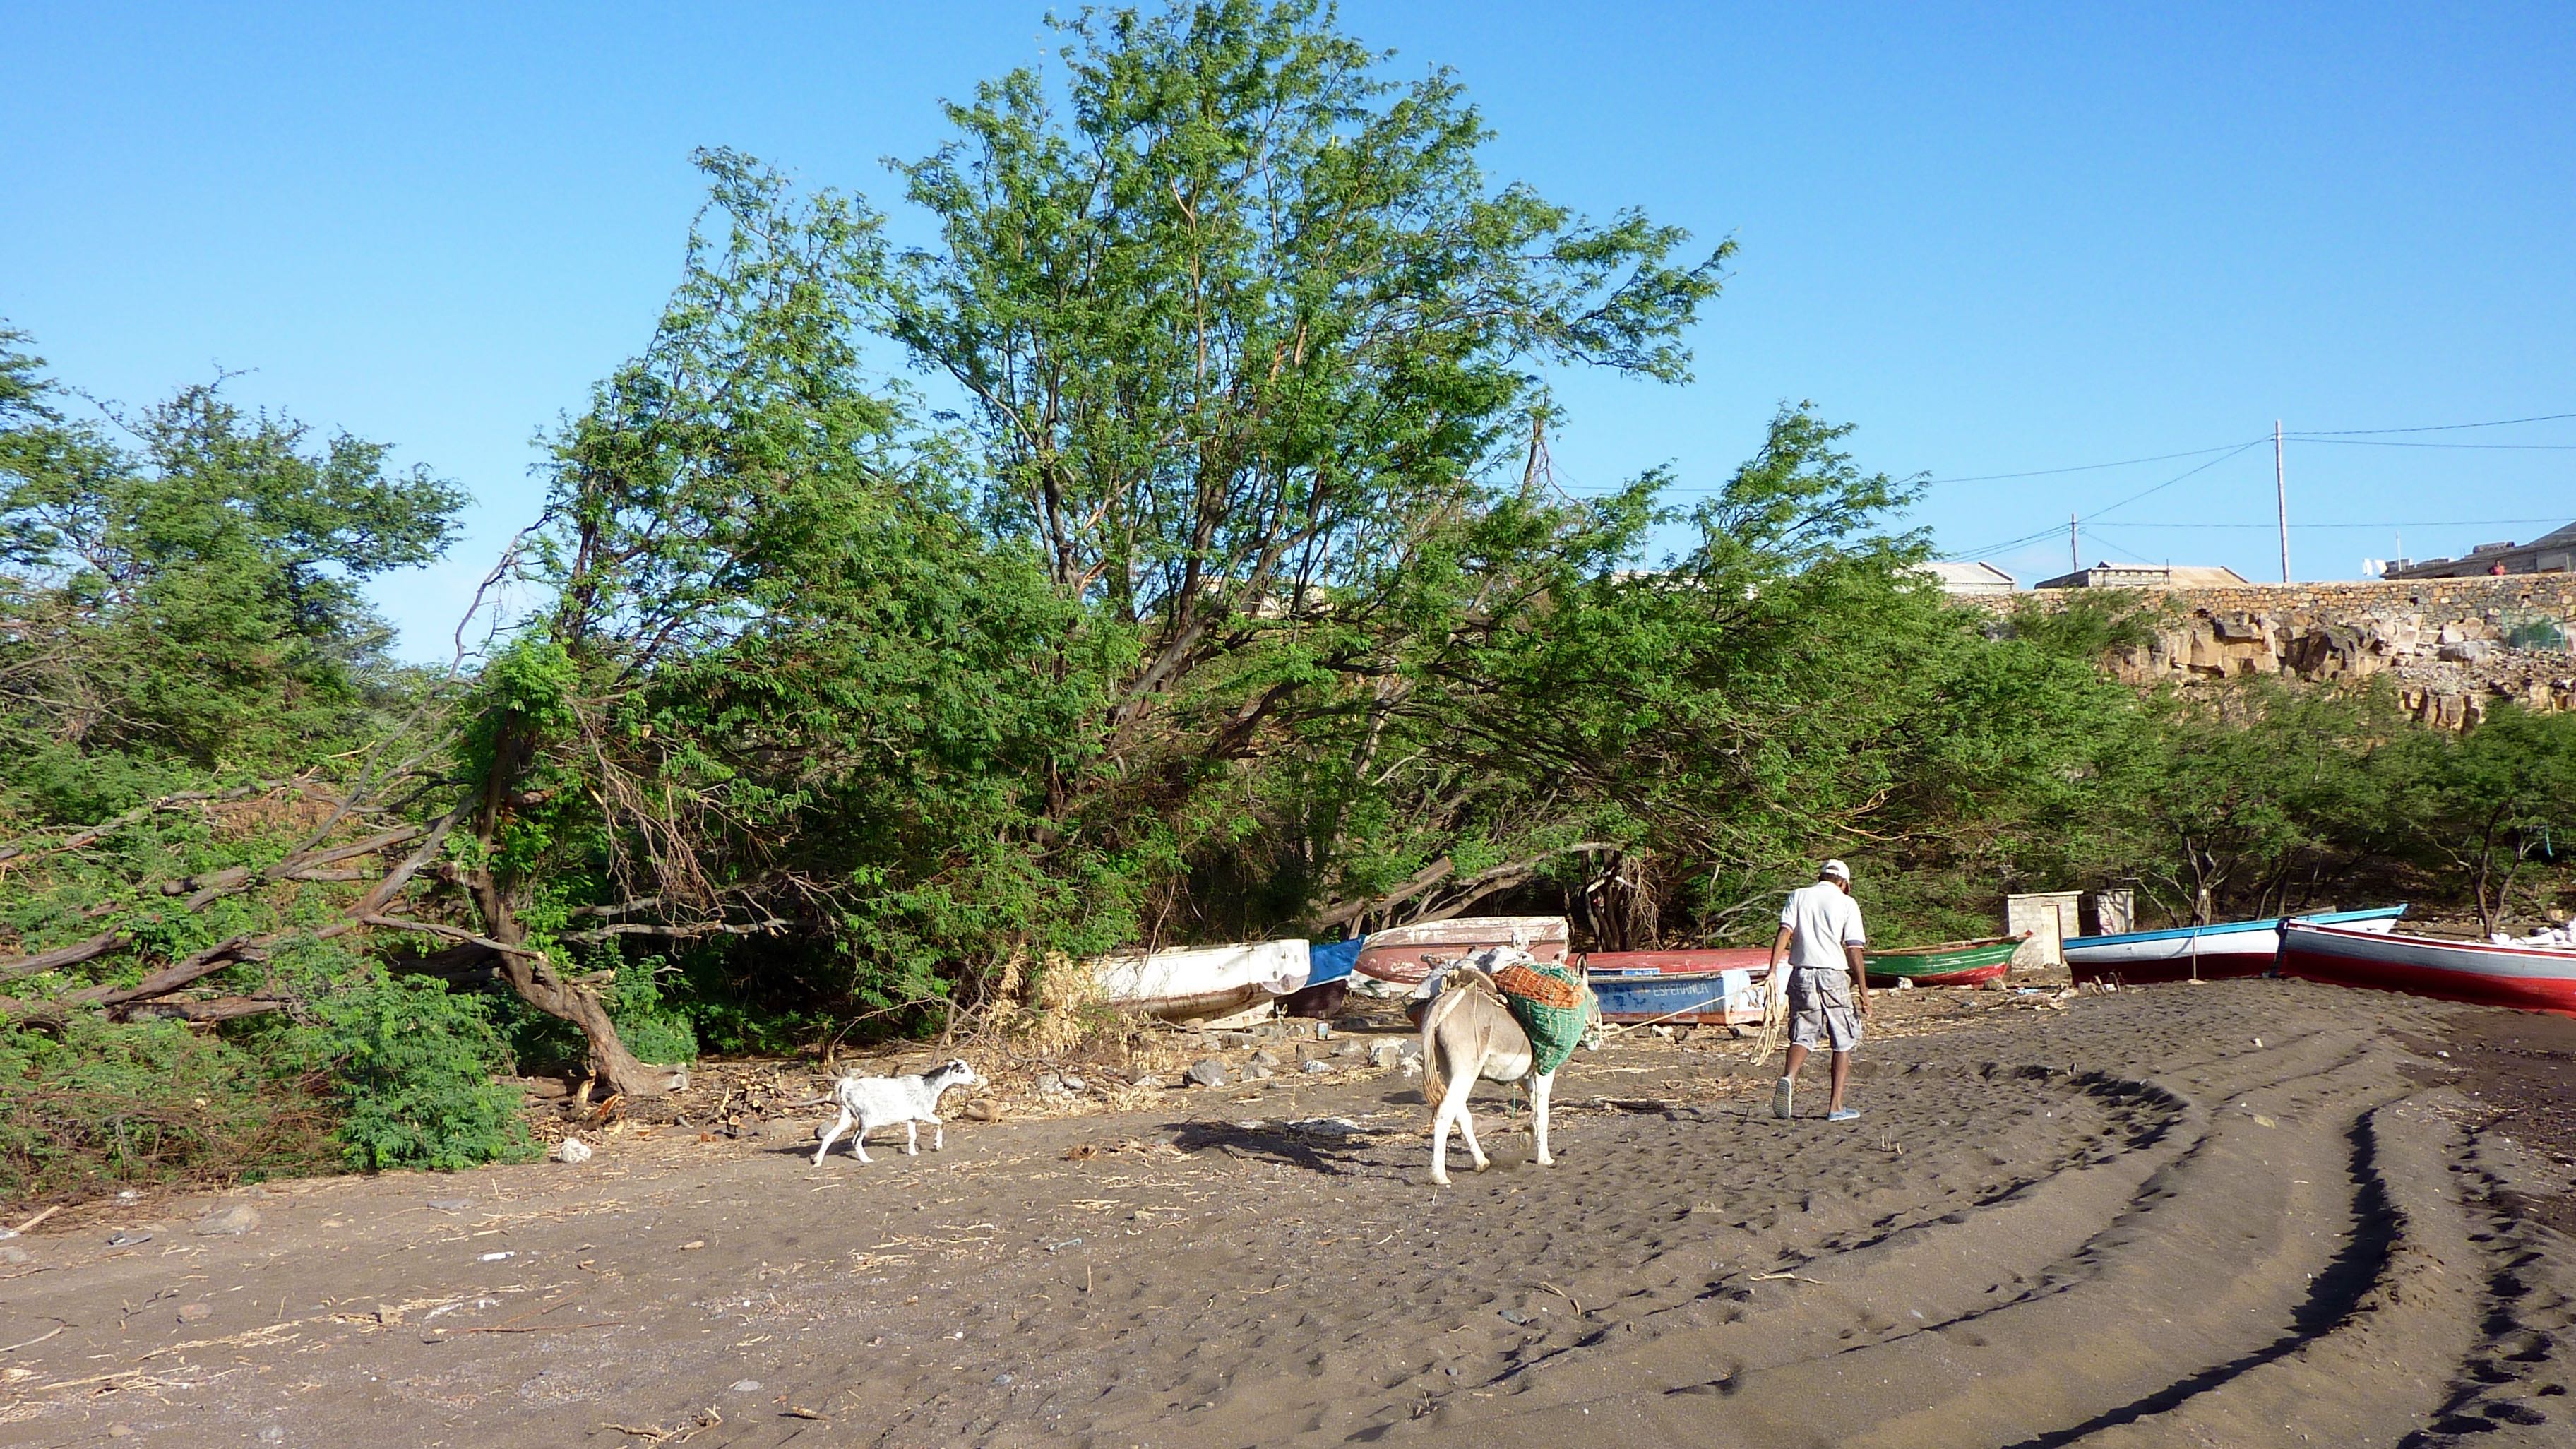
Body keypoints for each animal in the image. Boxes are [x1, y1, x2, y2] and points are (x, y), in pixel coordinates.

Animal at [813, 1058, 980, 1166]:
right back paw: (866, 1160)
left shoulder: (912, 1118)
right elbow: (941, 1122)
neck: (928, 1086)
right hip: (866, 1118)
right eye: (962, 1070)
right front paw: (937, 1146)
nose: (975, 1080)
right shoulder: (923, 1113)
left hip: (847, 1116)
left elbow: (913, 1135)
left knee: (828, 1137)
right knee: (855, 1141)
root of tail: (846, 1087)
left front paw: (912, 1152)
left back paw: (817, 1161)